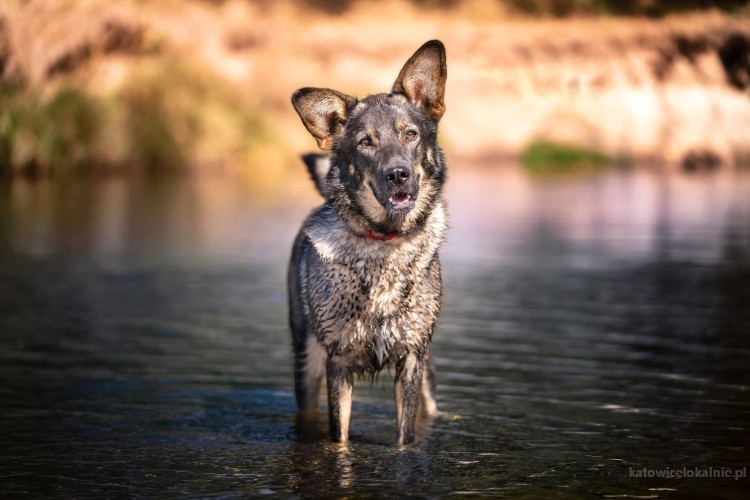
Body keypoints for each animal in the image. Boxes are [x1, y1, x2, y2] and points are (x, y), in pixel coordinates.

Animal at [290, 40, 450, 446]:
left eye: (410, 134)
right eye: (365, 142)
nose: (398, 175)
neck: (384, 245)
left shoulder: (412, 357)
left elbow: (406, 438)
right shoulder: (339, 361)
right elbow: (340, 435)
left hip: (428, 369)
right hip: (306, 362)